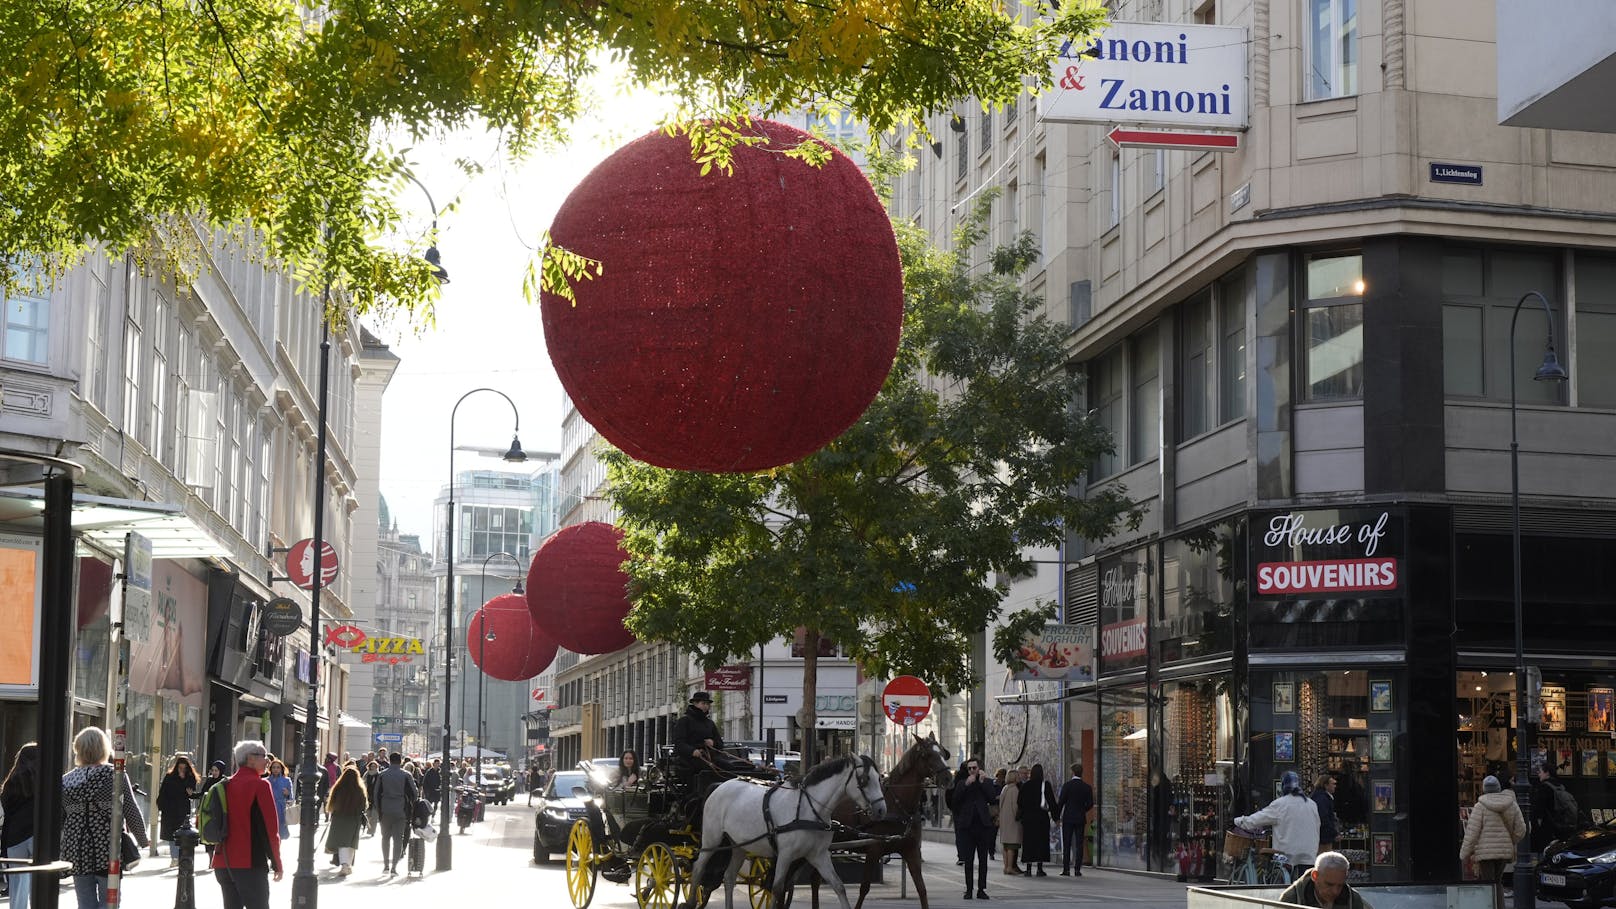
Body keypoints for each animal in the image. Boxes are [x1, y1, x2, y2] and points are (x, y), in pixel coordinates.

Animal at [681, 753, 885, 905]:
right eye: (865, 779)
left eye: (880, 778)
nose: (881, 810)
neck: (808, 810)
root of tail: (720, 785)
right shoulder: (785, 855)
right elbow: (777, 889)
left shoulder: (818, 855)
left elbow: (839, 886)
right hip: (712, 840)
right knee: (698, 868)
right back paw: (690, 901)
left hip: (739, 845)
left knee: (729, 877)